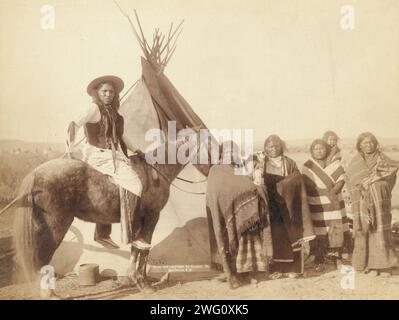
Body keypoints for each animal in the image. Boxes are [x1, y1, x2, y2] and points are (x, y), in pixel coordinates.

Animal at [3, 132, 212, 290]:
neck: (155, 172)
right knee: (42, 256)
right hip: (55, 227)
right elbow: (144, 248)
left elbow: (137, 249)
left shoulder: (139, 221)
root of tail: (36, 173)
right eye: (209, 147)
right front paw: (143, 283)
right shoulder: (152, 217)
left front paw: (133, 279)